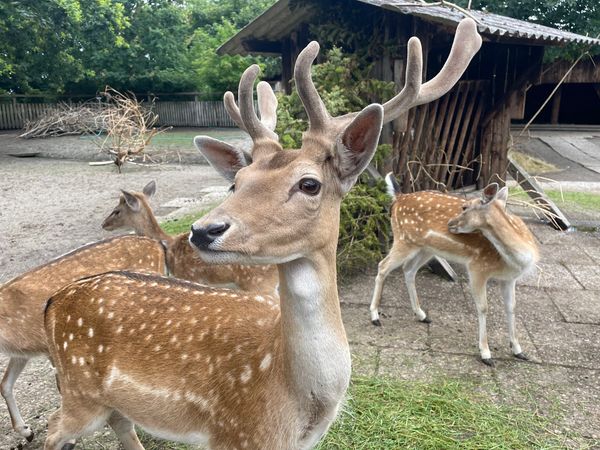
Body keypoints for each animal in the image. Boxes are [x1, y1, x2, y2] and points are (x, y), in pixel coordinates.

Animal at [370, 178, 540, 368]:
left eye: (465, 207)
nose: (450, 223)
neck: (518, 259)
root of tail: (399, 197)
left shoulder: (509, 278)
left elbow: (511, 308)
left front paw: (518, 350)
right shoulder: (477, 268)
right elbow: (483, 307)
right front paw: (486, 354)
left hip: (426, 248)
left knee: (408, 269)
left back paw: (422, 315)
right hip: (403, 239)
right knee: (383, 266)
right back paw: (375, 317)